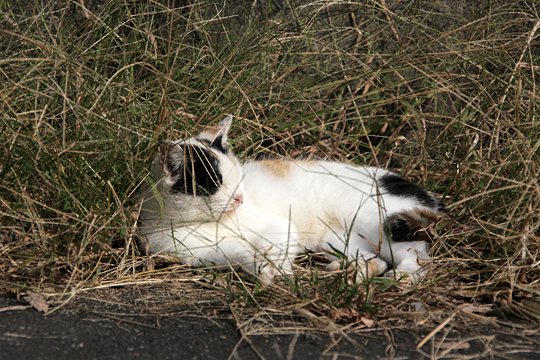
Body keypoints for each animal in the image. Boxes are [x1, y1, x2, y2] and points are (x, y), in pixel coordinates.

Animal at [138, 115, 442, 284]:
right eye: (216, 184)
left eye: (237, 179)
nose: (239, 198)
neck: (198, 224)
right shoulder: (205, 253)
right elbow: (243, 254)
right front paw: (263, 270)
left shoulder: (278, 226)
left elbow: (277, 246)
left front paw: (278, 271)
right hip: (338, 239)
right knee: (376, 260)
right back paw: (348, 271)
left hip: (380, 222)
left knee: (416, 254)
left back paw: (404, 277)